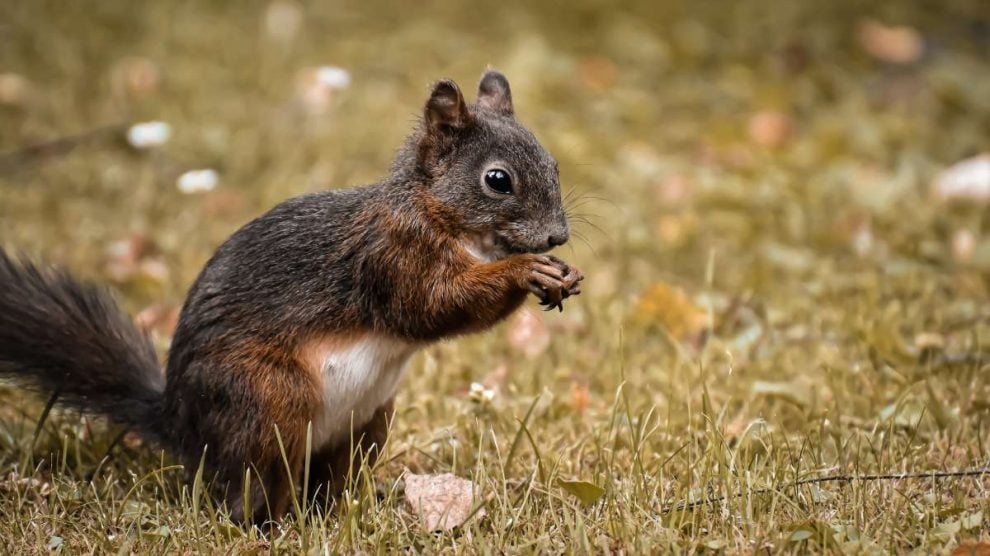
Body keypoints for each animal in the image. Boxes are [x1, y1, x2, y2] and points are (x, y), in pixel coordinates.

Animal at [0, 68, 584, 520]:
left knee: (325, 483)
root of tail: (183, 426)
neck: (441, 217)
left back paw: (349, 510)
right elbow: (433, 306)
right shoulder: (390, 257)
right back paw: (272, 526)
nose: (557, 236)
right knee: (250, 489)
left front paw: (561, 273)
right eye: (497, 180)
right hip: (268, 399)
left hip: (368, 423)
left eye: (554, 164)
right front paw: (526, 271)